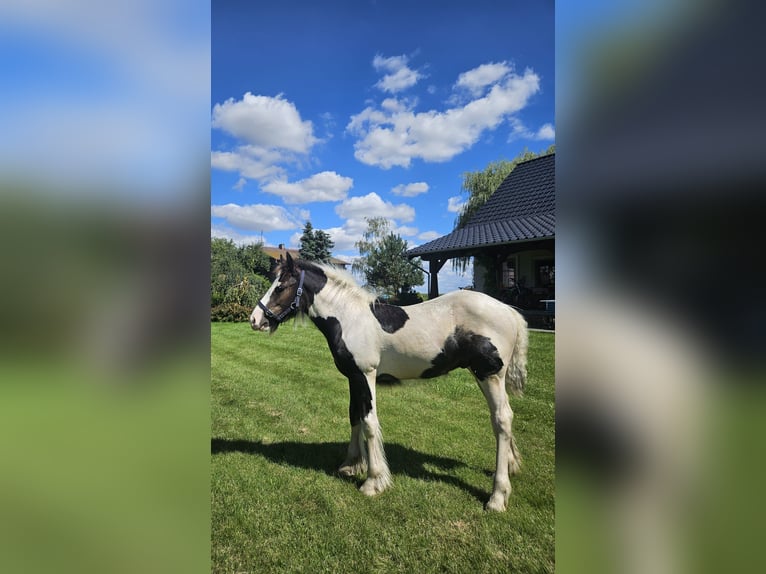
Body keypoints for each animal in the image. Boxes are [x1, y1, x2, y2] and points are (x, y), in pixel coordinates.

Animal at [252, 254, 528, 510]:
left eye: (280, 286)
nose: (256, 320)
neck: (349, 319)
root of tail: (509, 311)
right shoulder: (354, 378)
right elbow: (354, 416)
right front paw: (351, 464)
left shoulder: (366, 375)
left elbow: (369, 423)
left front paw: (373, 481)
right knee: (503, 416)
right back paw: (511, 465)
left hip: (489, 375)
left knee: (502, 419)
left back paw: (497, 496)